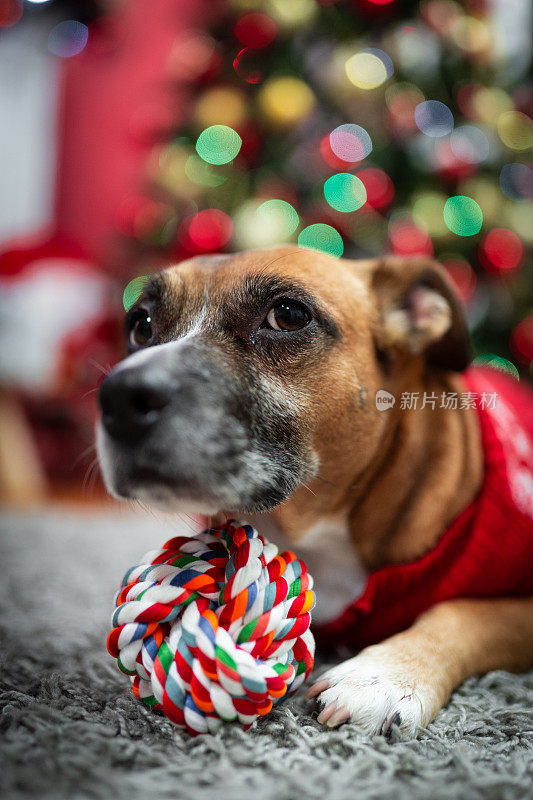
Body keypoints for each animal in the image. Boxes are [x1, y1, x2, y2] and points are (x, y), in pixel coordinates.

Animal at [95, 247, 532, 740]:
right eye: (141, 324)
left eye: (288, 315)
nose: (118, 396)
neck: (321, 527)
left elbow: (461, 613)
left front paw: (385, 676)